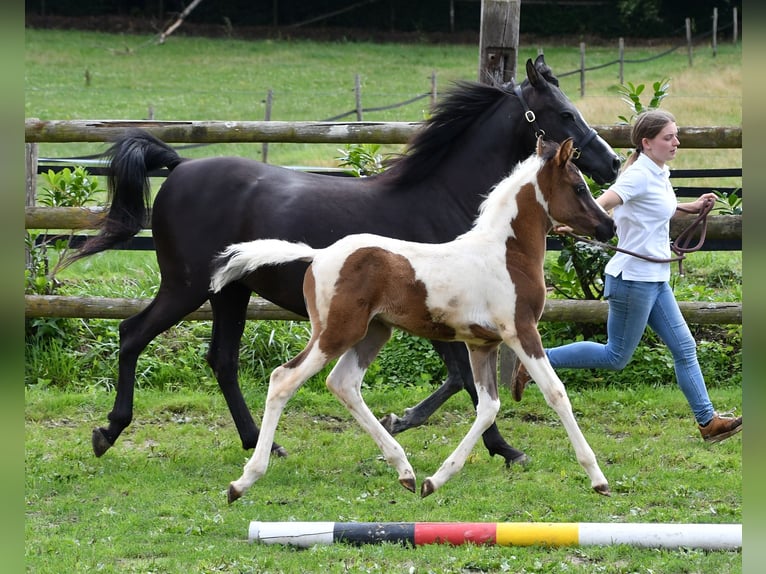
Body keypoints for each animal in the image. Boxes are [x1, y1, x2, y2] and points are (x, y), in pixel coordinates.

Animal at [65, 55, 620, 466]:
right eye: (564, 113)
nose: (612, 161)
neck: (441, 200)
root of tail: (179, 167)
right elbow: (464, 379)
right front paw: (500, 447)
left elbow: (459, 378)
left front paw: (411, 424)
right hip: (187, 286)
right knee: (133, 334)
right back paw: (109, 431)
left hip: (231, 292)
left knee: (221, 360)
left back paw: (261, 443)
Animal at [211, 138, 614, 502]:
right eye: (579, 187)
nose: (608, 226)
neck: (506, 253)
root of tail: (318, 254)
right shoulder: (521, 331)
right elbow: (556, 393)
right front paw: (597, 478)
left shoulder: (482, 344)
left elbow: (488, 407)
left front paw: (435, 480)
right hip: (336, 332)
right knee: (284, 379)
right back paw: (244, 480)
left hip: (373, 332)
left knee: (343, 383)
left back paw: (404, 470)